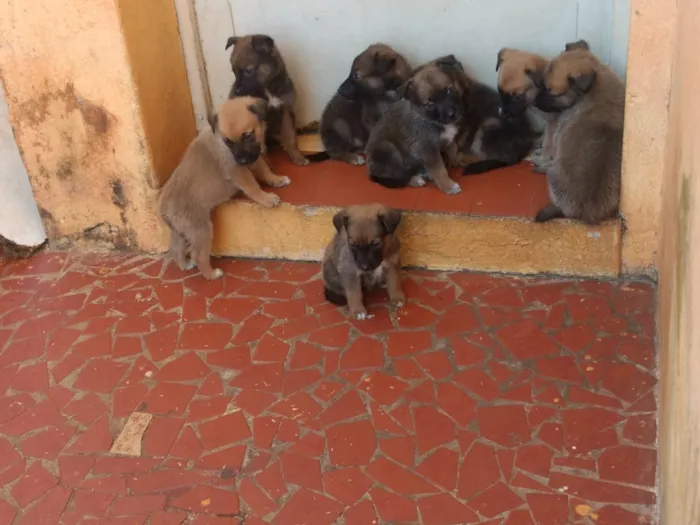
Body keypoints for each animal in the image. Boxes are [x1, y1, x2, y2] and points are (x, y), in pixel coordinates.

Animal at [159, 96, 290, 280]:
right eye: (228, 141)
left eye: (247, 135)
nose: (242, 160)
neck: (220, 141)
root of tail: (163, 209)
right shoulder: (237, 170)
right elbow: (253, 185)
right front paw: (266, 198)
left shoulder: (252, 156)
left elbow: (264, 169)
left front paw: (276, 180)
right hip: (200, 229)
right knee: (199, 255)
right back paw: (212, 274)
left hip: (181, 231)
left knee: (176, 249)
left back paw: (185, 265)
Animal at [364, 55, 468, 194]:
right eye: (430, 104)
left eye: (448, 90)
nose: (452, 114)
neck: (432, 120)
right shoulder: (428, 149)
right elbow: (440, 170)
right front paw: (448, 186)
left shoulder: (449, 140)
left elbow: (453, 151)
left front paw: (459, 160)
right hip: (387, 148)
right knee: (399, 176)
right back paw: (414, 180)